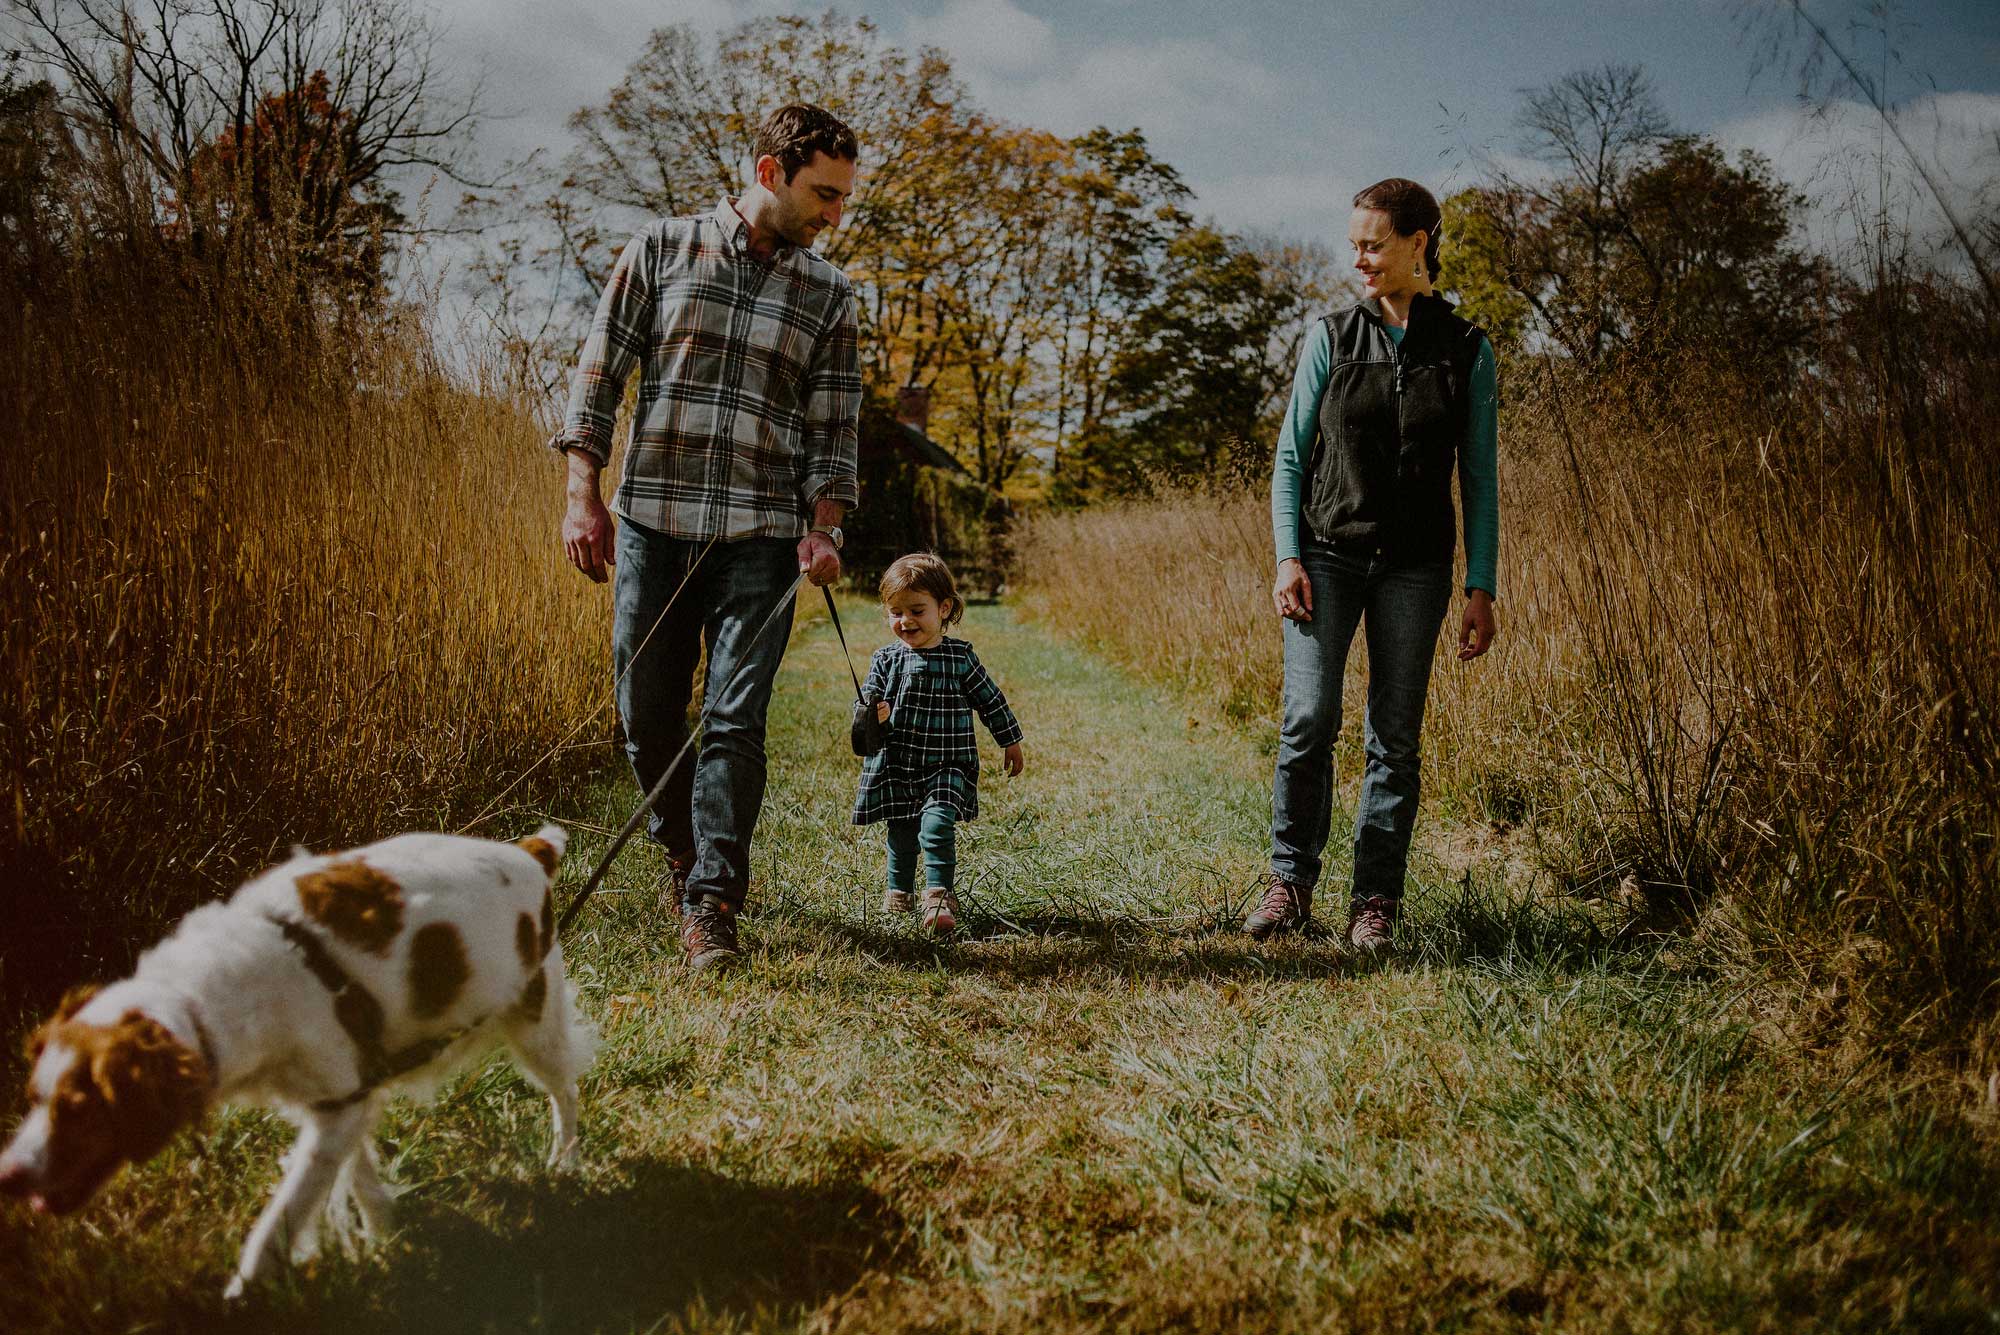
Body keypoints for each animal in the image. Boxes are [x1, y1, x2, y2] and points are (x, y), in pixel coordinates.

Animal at [0, 823, 592, 1295]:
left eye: (81, 1108)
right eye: (33, 1098)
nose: (8, 1176)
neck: (206, 995)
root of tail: (530, 852)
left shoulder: (337, 1108)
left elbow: (278, 1222)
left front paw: (240, 1299)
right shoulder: (348, 1094)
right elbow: (359, 1177)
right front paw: (384, 1238)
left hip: (535, 1025)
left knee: (566, 1092)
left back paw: (564, 1162)